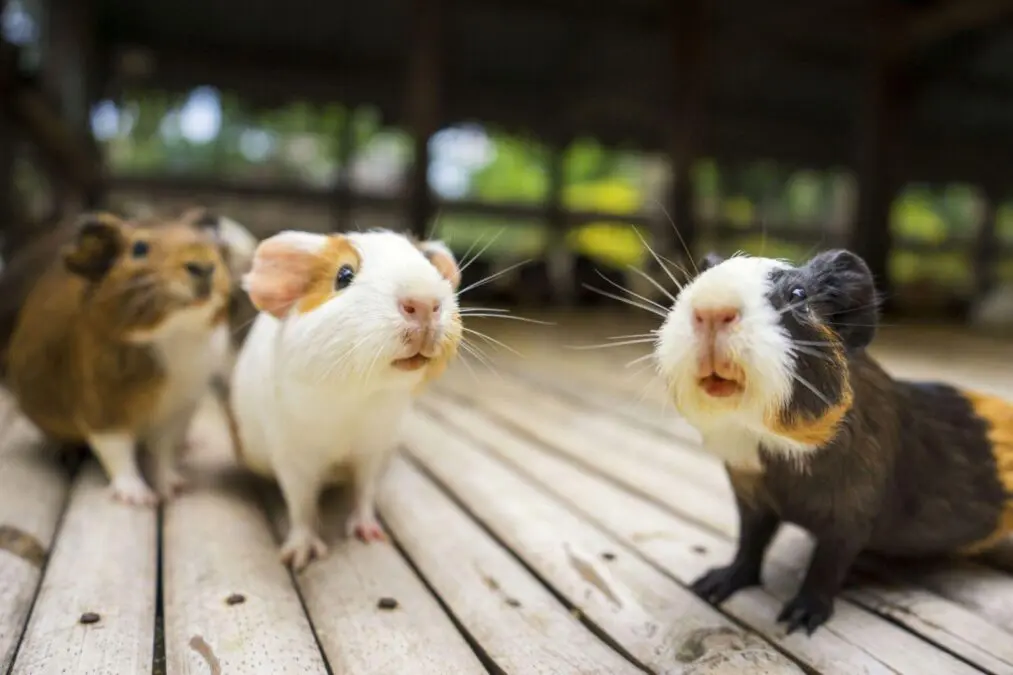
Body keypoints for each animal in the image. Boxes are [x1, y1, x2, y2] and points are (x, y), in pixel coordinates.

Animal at [6, 211, 232, 505]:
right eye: (139, 248)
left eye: (209, 242)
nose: (203, 266)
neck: (174, 337)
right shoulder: (102, 408)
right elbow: (118, 452)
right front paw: (137, 498)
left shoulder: (177, 411)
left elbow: (163, 452)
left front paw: (173, 489)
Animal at [229, 228, 462, 570]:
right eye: (344, 275)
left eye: (429, 265)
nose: (423, 302)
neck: (357, 402)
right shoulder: (293, 459)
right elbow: (301, 506)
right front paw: (299, 556)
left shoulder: (372, 450)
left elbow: (364, 492)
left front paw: (370, 535)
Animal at [653, 249, 1013, 635]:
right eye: (694, 281)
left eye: (798, 295)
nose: (711, 309)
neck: (766, 446)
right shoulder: (751, 498)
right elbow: (749, 545)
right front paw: (711, 585)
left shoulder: (850, 516)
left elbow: (824, 567)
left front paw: (797, 620)